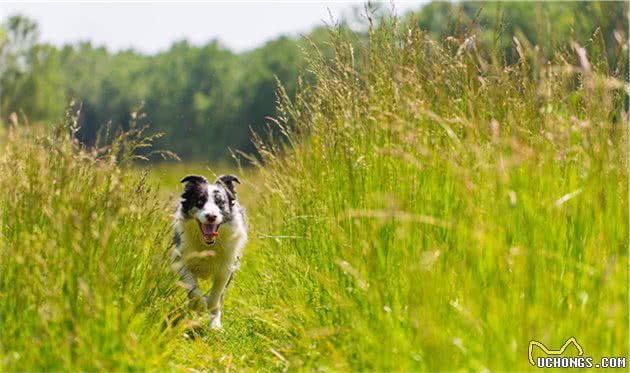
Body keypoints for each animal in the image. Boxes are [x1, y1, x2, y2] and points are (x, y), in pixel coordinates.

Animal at [172, 173, 248, 326]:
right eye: (200, 201)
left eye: (220, 203)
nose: (211, 216)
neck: (207, 245)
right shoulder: (179, 260)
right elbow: (193, 288)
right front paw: (199, 306)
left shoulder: (227, 267)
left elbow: (216, 296)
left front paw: (214, 323)